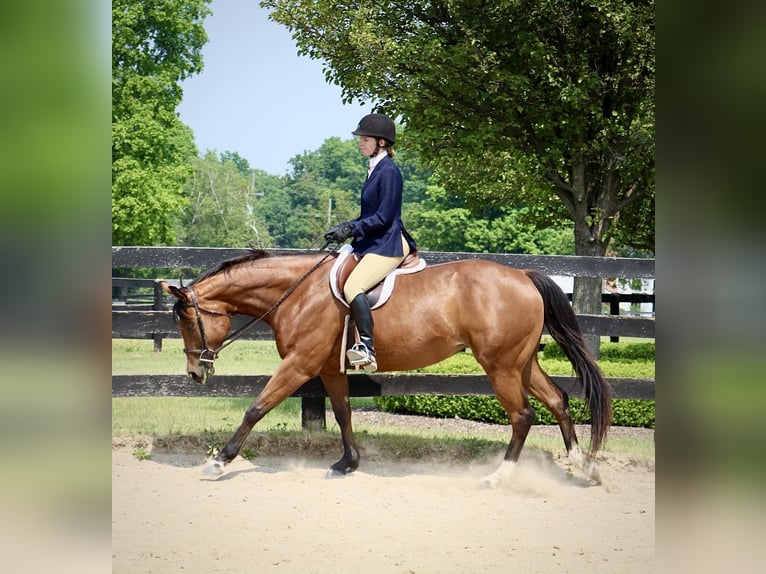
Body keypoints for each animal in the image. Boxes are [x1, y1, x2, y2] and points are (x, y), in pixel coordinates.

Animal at [159, 250, 616, 488]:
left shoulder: (299, 364)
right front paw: (348, 463)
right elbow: (343, 412)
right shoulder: (329, 369)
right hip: (521, 363)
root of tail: (522, 274)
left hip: (500, 366)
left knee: (523, 415)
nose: (195, 374)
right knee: (558, 401)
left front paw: (220, 461)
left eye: (187, 322)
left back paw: (499, 477)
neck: (297, 291)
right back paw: (585, 468)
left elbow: (256, 408)